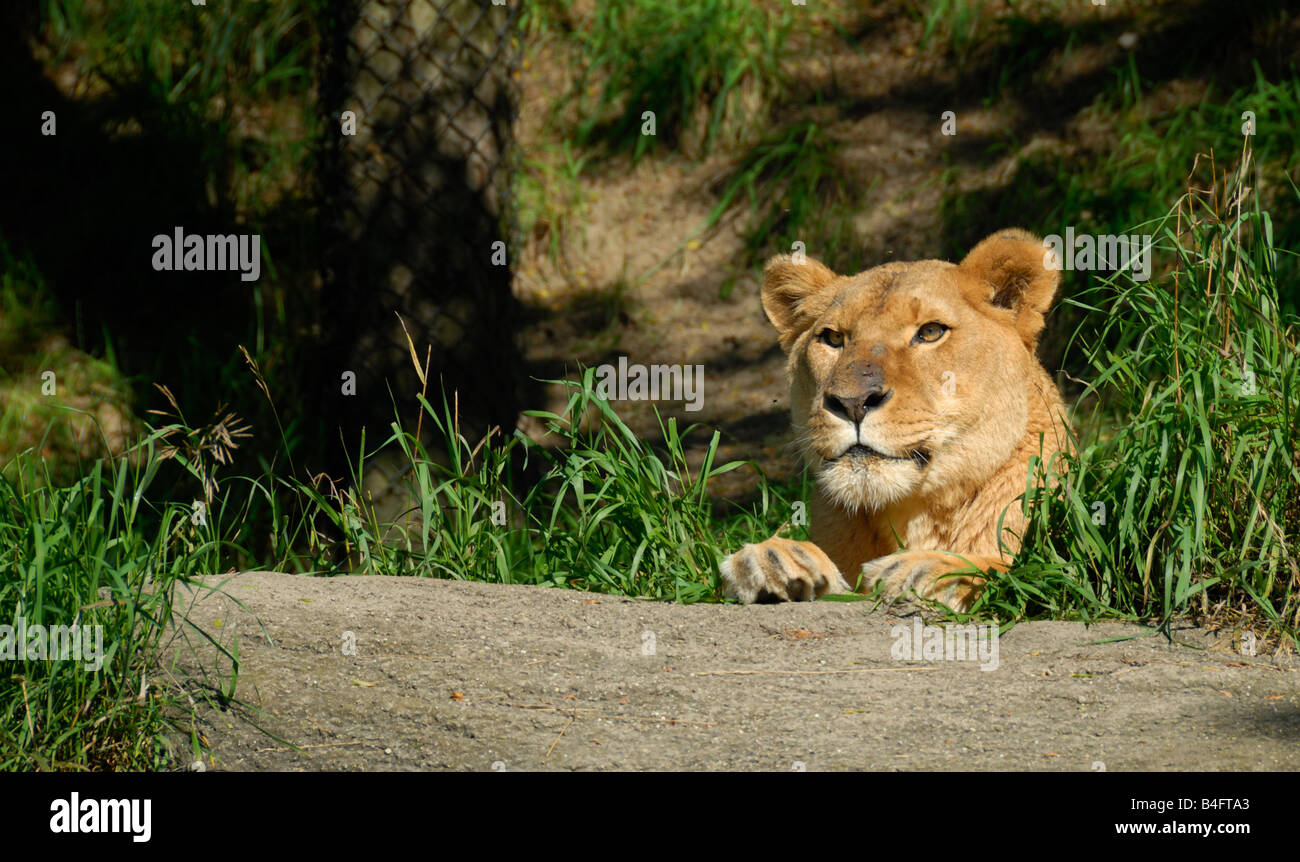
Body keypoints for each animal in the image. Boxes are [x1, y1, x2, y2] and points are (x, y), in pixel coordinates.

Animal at [720, 229, 1071, 612]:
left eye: (930, 332)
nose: (853, 402)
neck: (911, 514)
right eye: (833, 338)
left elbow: (1015, 570)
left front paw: (924, 569)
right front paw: (775, 560)